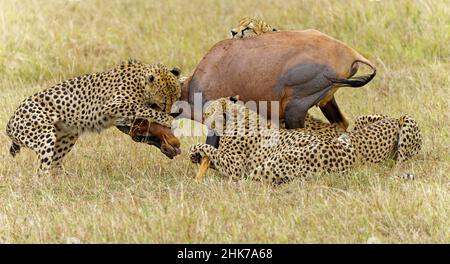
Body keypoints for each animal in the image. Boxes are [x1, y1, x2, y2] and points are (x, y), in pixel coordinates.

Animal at [6, 59, 182, 175]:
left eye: (176, 97)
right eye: (165, 101)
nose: (172, 111)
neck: (141, 81)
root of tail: (10, 121)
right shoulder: (112, 105)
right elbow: (143, 109)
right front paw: (168, 120)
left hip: (67, 135)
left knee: (55, 164)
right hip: (44, 137)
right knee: (41, 171)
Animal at [189, 96, 422, 185]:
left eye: (207, 112)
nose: (202, 119)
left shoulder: (235, 165)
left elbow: (213, 153)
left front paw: (195, 150)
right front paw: (197, 156)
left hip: (275, 162)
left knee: (250, 181)